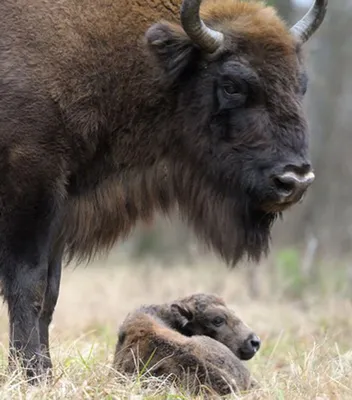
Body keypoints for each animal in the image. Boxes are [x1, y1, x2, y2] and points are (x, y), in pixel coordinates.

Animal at [0, 0, 326, 382]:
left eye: (300, 84)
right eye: (232, 85)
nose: (295, 180)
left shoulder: (60, 209)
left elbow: (50, 294)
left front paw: (45, 372)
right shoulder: (33, 187)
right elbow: (30, 286)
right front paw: (31, 375)